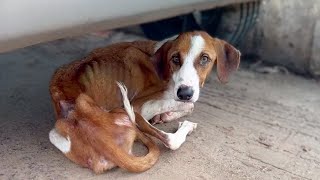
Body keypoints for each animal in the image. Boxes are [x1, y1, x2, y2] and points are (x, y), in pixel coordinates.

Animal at [48, 31, 240, 174]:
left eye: (205, 59)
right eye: (175, 58)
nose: (184, 93)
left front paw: (165, 115)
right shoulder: (139, 105)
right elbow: (187, 105)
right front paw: (172, 111)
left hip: (55, 133)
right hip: (125, 110)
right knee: (170, 140)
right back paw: (186, 125)